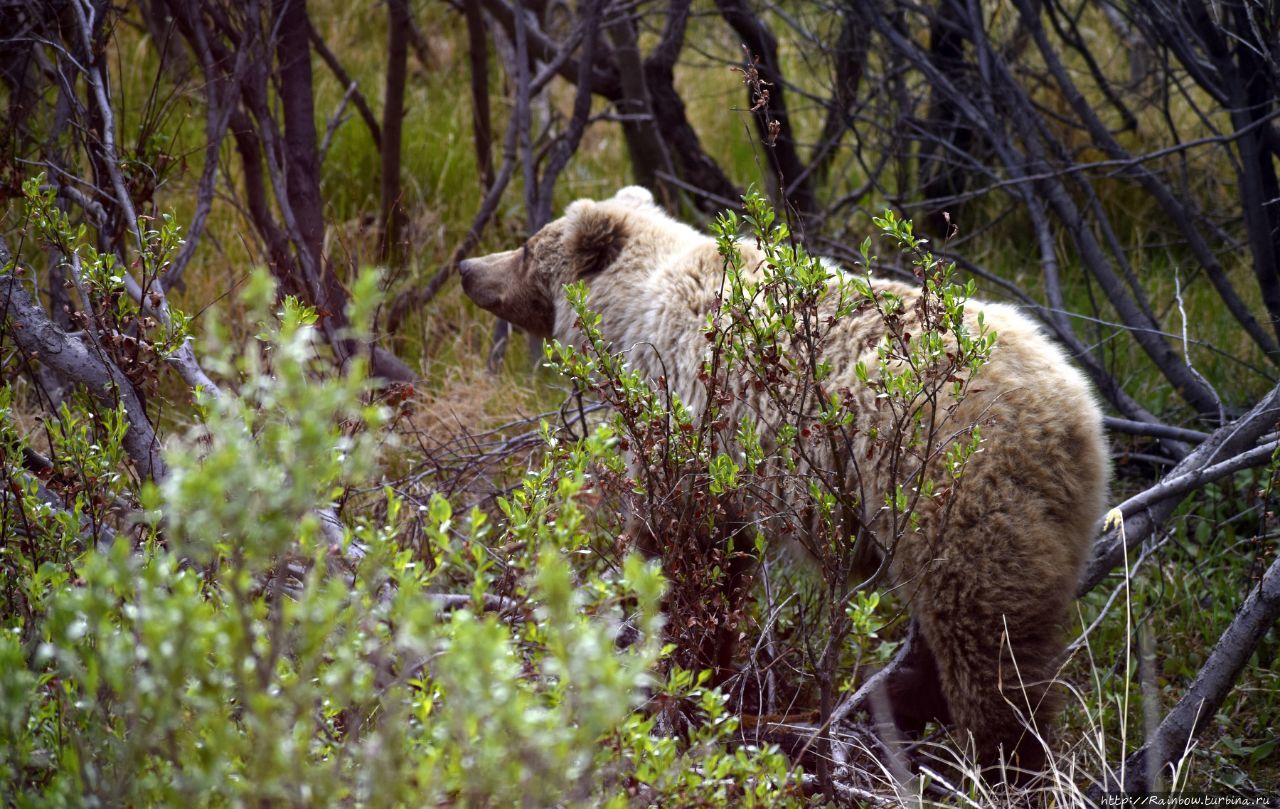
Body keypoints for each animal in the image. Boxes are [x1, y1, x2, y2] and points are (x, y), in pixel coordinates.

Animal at [460, 186, 1111, 778]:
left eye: (526, 246)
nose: (467, 268)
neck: (635, 313)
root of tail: (1074, 409)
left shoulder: (693, 417)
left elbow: (681, 545)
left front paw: (668, 658)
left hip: (951, 484)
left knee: (983, 632)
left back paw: (1000, 756)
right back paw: (903, 704)